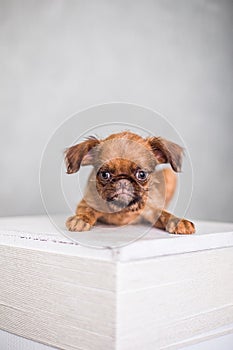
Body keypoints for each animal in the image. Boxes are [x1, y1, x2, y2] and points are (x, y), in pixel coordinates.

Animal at [64, 132, 196, 235]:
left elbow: (163, 213)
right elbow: (88, 210)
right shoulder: (85, 202)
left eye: (141, 175)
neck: (123, 210)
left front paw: (178, 221)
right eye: (104, 175)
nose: (123, 181)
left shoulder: (151, 209)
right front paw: (81, 219)